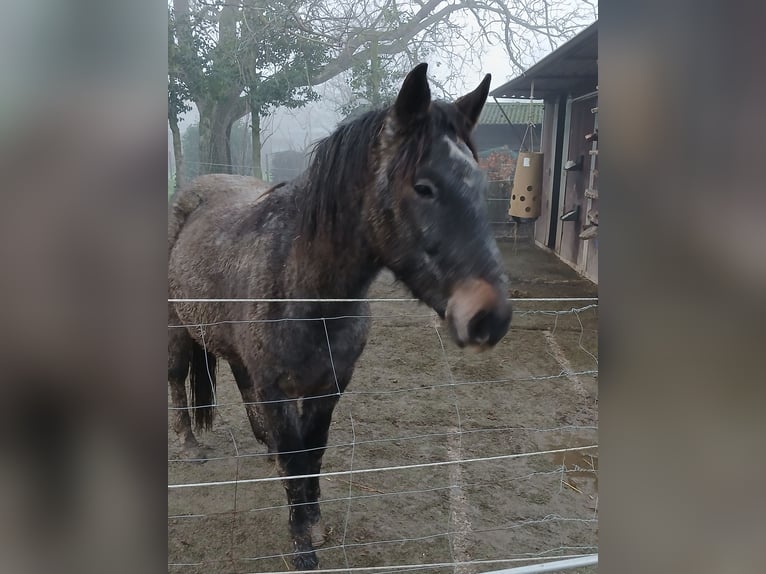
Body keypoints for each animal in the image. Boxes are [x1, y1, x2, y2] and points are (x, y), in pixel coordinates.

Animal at [171, 64, 512, 572]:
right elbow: (297, 458)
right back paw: (191, 446)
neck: (306, 290)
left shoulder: (330, 385)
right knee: (177, 379)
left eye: (480, 186)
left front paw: (313, 523)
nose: (490, 315)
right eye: (423, 186)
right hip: (175, 328)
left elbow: (312, 453)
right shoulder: (278, 388)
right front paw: (302, 547)